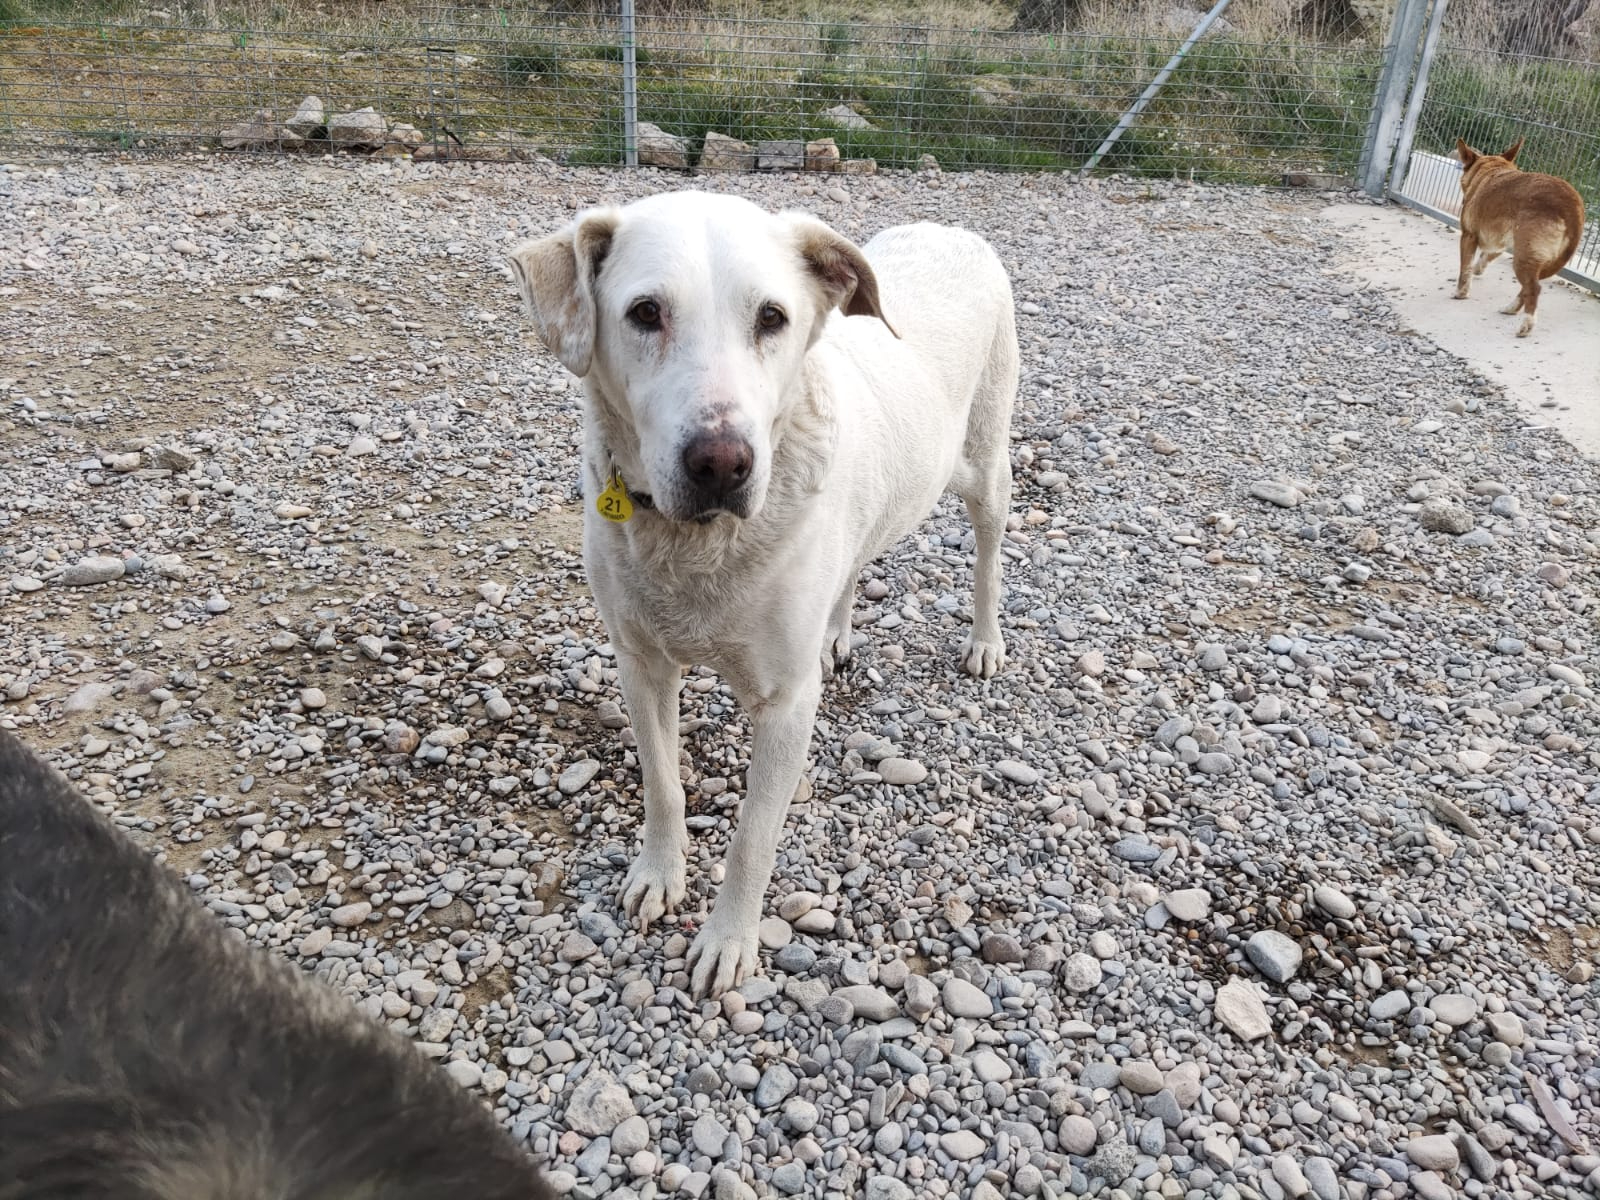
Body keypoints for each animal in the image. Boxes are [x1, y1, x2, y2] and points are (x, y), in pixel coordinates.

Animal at [507, 191, 1018, 998]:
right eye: (645, 312)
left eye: (773, 318)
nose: (722, 463)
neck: (697, 547)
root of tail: (951, 229)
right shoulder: (639, 663)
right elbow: (663, 784)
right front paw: (659, 874)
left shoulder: (785, 705)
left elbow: (752, 835)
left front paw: (728, 940)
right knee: (853, 560)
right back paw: (838, 635)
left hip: (985, 466)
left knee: (992, 549)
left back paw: (986, 642)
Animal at [1454, 136, 1586, 336]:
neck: (1491, 170)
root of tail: (1573, 204)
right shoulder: (1501, 243)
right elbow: (1485, 257)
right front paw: (1478, 269)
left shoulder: (1468, 236)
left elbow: (1465, 269)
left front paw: (1461, 293)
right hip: (1534, 257)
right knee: (1527, 287)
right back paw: (1511, 308)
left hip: (1523, 257)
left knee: (1533, 288)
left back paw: (1526, 324)